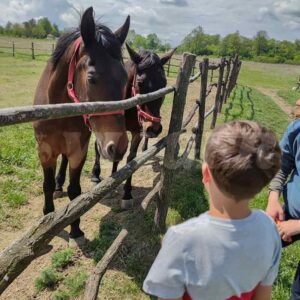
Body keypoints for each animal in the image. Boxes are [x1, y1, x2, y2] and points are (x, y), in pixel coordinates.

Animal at [33, 7, 129, 244]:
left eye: (125, 77)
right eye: (92, 77)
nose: (119, 146)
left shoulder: (79, 150)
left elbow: (75, 191)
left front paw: (75, 229)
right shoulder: (45, 151)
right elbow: (47, 185)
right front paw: (47, 218)